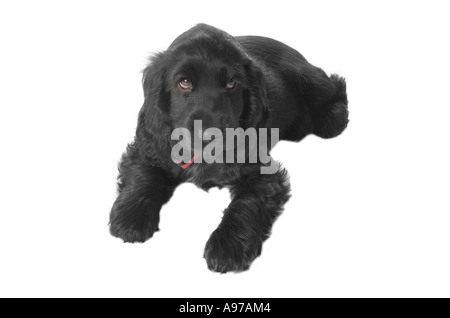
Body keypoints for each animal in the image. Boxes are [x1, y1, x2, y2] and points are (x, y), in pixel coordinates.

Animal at [109, 24, 348, 274]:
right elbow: (143, 175)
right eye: (184, 82)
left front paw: (227, 247)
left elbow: (246, 203)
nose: (209, 135)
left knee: (336, 85)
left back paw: (333, 117)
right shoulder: (150, 147)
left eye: (232, 83)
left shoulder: (263, 173)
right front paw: (130, 218)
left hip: (309, 80)